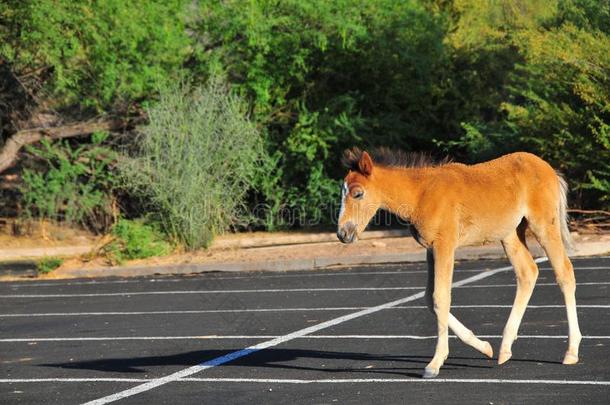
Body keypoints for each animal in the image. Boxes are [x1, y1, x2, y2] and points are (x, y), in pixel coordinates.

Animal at [338, 148, 580, 378]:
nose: (343, 233)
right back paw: (504, 348)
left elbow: (440, 298)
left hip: (544, 225)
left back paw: (571, 351)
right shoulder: (430, 249)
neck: (421, 193)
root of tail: (549, 169)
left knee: (564, 273)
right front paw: (484, 346)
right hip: (511, 234)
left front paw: (435, 363)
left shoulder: (445, 245)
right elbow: (429, 298)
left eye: (358, 193)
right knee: (527, 273)